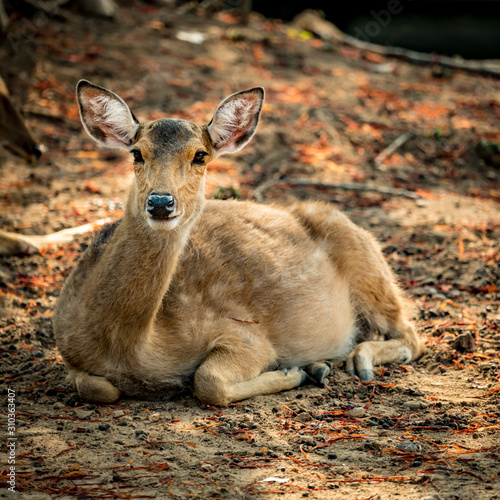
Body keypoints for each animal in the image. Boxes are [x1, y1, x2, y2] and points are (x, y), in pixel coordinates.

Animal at [52, 80, 424, 404]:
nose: (160, 202)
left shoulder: (244, 333)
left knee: (410, 333)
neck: (128, 349)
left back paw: (351, 363)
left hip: (365, 259)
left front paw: (291, 371)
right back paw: (322, 365)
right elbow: (97, 387)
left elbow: (207, 380)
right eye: (136, 153)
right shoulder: (69, 353)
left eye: (200, 155)